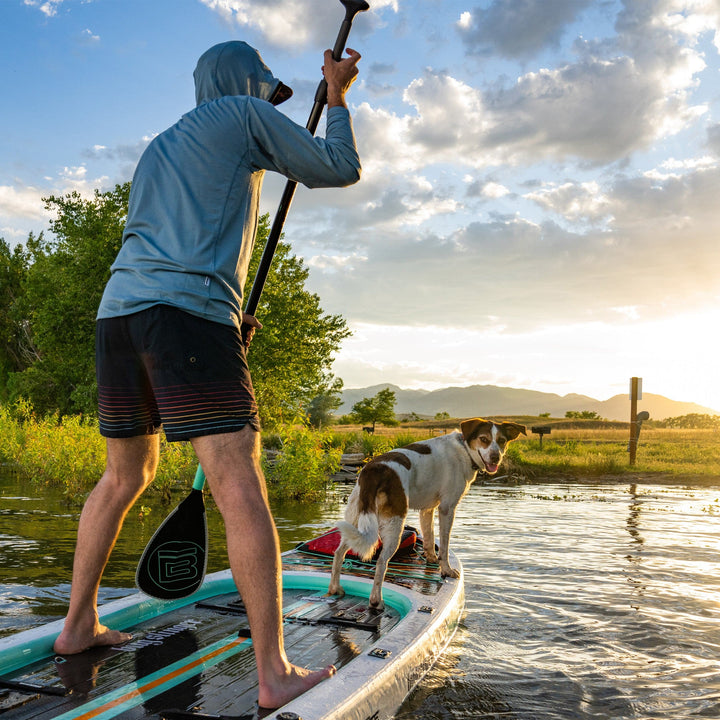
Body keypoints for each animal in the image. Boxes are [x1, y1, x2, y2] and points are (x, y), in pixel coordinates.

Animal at [326, 420, 524, 612]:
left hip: (356, 521)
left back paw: (335, 588)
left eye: (502, 441)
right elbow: (444, 545)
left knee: (339, 553)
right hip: (394, 524)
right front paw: (446, 570)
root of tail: (374, 470)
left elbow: (429, 538)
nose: (496, 457)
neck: (465, 450)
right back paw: (376, 601)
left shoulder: (427, 509)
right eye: (484, 439)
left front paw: (431, 560)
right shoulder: (447, 508)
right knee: (381, 562)